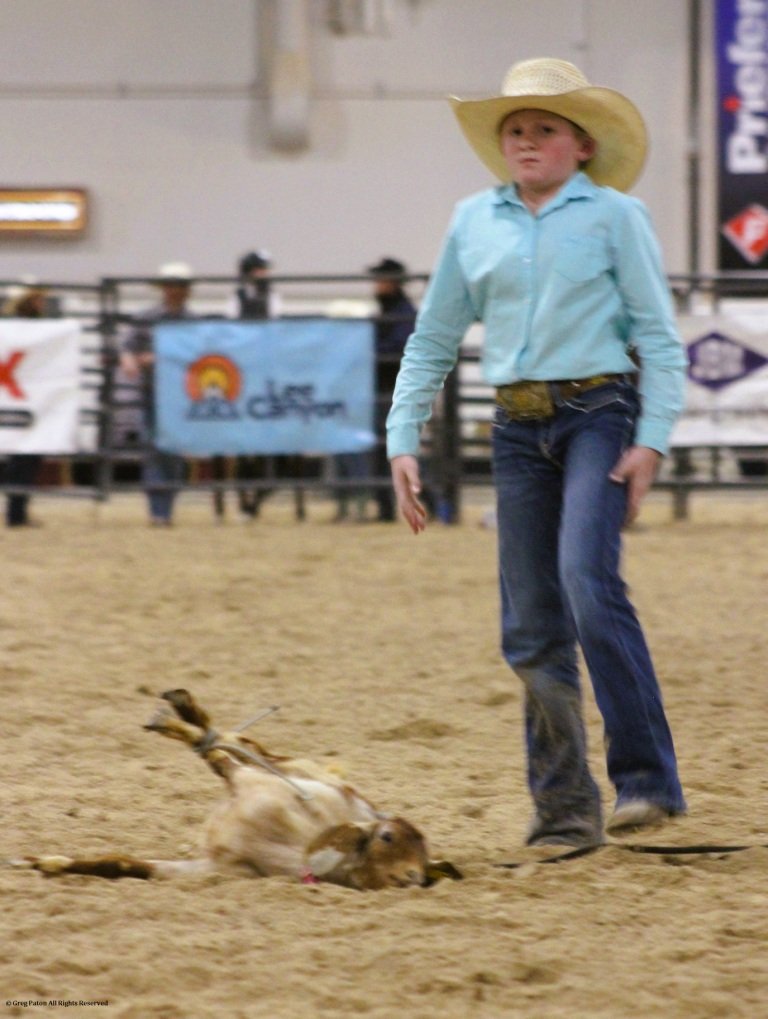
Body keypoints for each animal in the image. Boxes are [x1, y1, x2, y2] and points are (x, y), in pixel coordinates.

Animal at [13, 689, 461, 891]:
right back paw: (181, 711)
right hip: (295, 771)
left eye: (424, 861)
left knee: (233, 743)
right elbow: (216, 751)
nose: (415, 878)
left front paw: (47, 863)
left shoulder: (216, 867)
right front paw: (40, 861)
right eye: (387, 838)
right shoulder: (248, 782)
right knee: (231, 741)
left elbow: (122, 864)